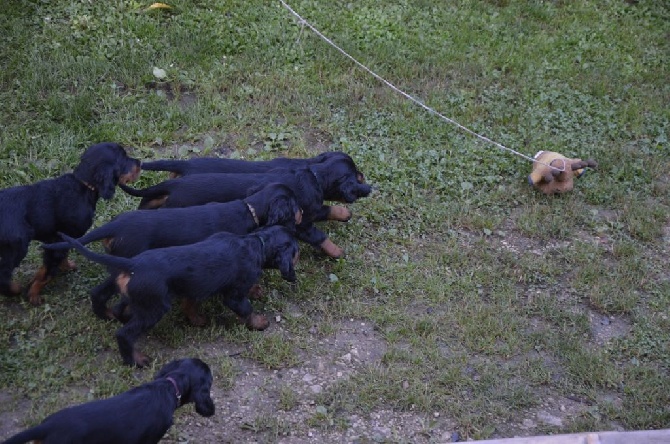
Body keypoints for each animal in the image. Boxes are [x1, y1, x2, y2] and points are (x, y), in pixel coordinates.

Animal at [0, 143, 140, 306]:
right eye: (123, 158)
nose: (139, 162)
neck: (82, 185)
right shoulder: (59, 241)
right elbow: (48, 272)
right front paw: (34, 295)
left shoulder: (57, 241)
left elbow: (51, 264)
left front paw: (65, 267)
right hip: (16, 247)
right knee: (3, 276)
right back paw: (15, 289)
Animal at [57, 227, 300, 366]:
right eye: (296, 252)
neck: (256, 242)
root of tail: (133, 264)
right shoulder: (234, 296)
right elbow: (246, 309)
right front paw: (259, 323)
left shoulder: (193, 287)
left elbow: (190, 304)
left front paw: (198, 320)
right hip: (155, 307)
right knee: (124, 333)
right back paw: (136, 361)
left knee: (119, 309)